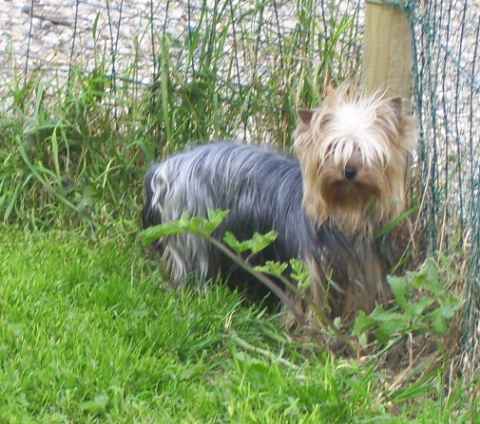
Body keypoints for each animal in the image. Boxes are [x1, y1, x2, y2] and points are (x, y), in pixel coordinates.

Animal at [142, 86, 417, 321]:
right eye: (331, 150)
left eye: (367, 152)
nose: (349, 171)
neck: (344, 212)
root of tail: (165, 168)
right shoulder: (305, 270)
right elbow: (310, 303)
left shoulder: (362, 265)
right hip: (192, 230)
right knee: (190, 266)